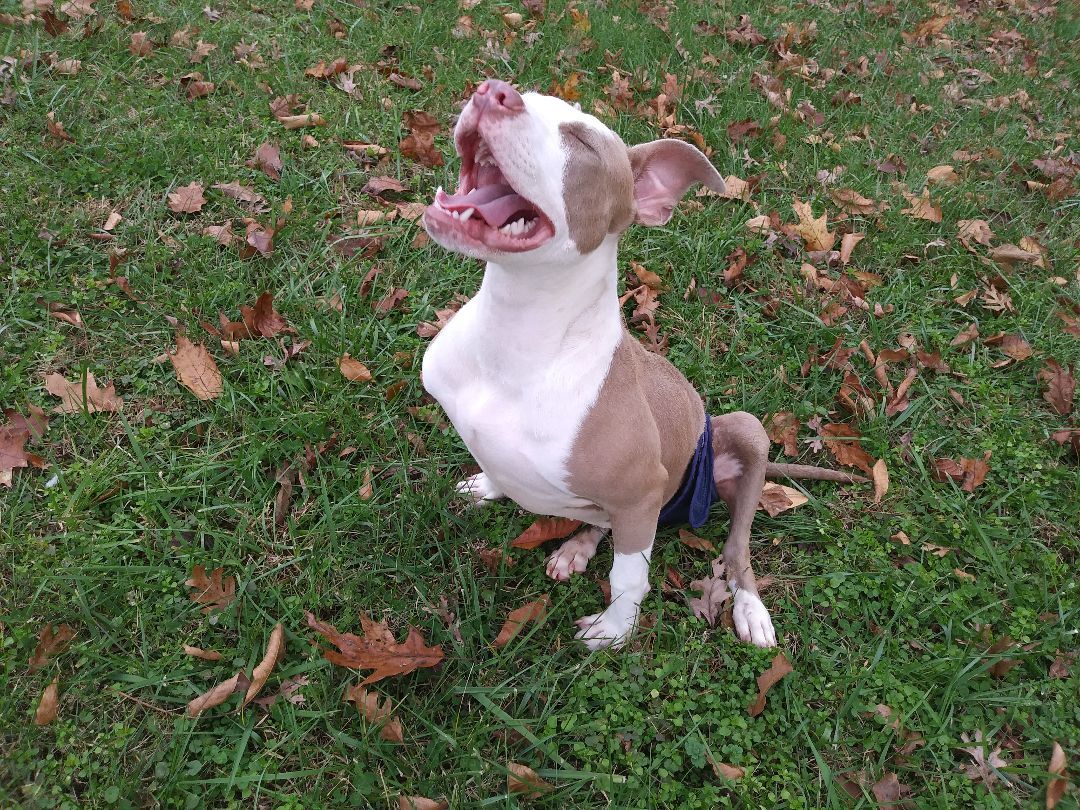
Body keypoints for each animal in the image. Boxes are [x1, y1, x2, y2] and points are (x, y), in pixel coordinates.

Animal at [419, 79, 859, 652]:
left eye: (583, 143)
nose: (493, 91)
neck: (518, 330)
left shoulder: (642, 493)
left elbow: (629, 577)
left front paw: (615, 630)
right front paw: (487, 485)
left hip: (743, 431)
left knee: (736, 548)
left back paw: (750, 609)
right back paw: (576, 548)